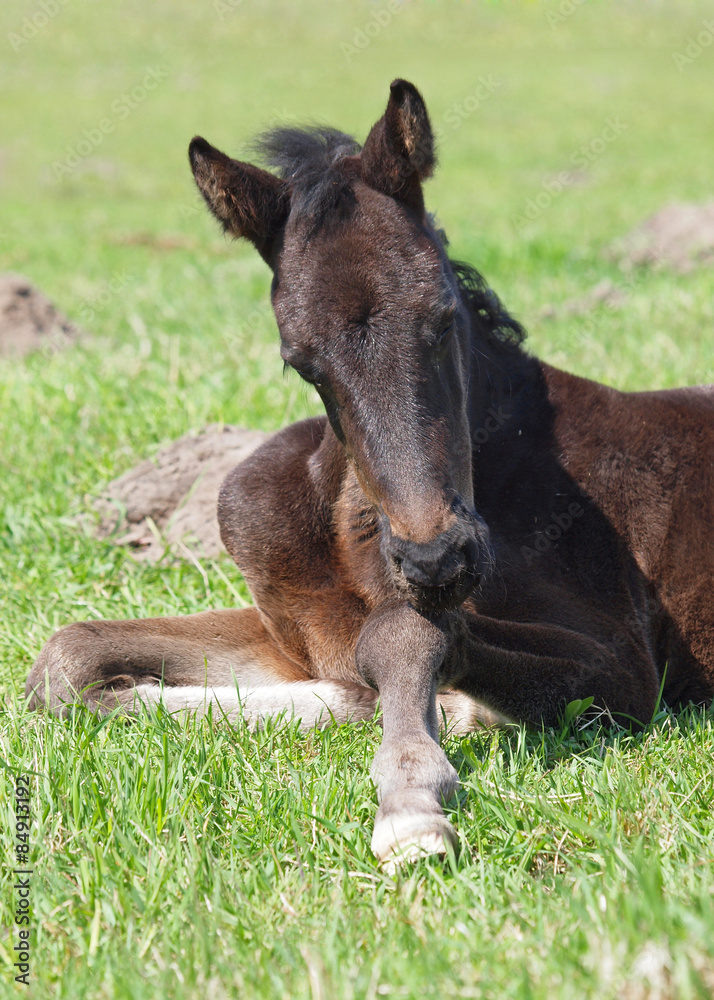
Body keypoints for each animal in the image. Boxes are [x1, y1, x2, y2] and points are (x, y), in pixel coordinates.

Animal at [26, 80, 714, 865]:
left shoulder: (626, 665)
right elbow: (69, 653)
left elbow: (403, 634)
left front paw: (412, 802)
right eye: (302, 361)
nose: (436, 558)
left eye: (443, 318)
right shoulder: (287, 635)